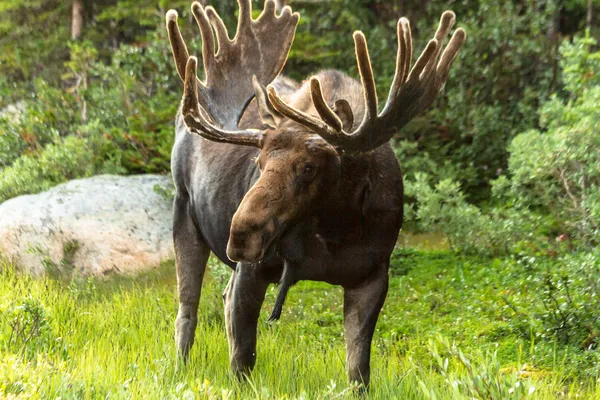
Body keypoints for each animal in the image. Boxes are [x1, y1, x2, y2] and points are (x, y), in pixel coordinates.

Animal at [166, 0, 466, 388]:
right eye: (259, 162)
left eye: (308, 167)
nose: (240, 236)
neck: (334, 228)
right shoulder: (251, 272)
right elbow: (243, 361)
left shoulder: (373, 275)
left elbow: (358, 371)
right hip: (183, 212)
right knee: (187, 311)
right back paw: (179, 371)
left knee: (217, 299)